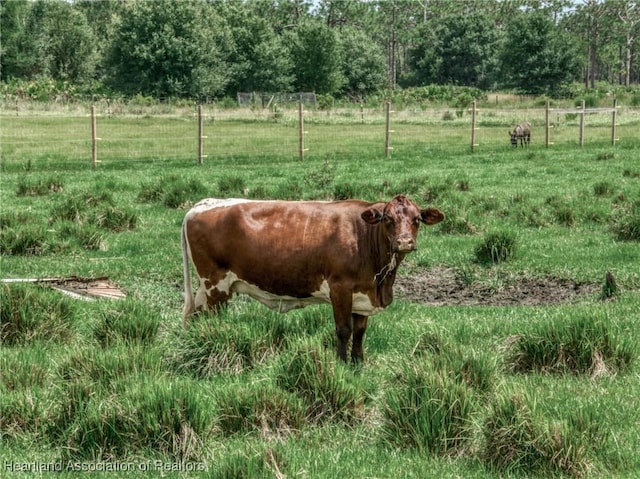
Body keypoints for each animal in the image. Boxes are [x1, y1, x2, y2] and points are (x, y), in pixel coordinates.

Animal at [180, 194, 444, 360]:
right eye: (388, 219)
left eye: (416, 219)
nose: (404, 242)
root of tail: (203, 204)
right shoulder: (340, 288)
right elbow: (343, 330)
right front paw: (342, 364)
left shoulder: (363, 295)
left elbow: (359, 332)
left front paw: (358, 364)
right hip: (215, 285)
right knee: (208, 320)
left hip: (207, 288)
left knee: (195, 318)